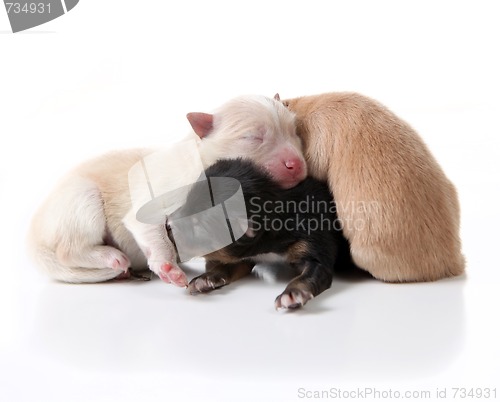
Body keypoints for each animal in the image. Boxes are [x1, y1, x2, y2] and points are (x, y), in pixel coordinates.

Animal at [29, 95, 306, 286]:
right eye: (253, 138)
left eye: (295, 132)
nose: (298, 165)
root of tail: (33, 238)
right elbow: (155, 233)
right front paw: (168, 266)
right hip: (81, 199)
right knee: (69, 250)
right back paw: (112, 258)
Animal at [170, 159, 346, 310]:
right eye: (185, 203)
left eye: (197, 224)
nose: (167, 224)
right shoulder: (246, 255)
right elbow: (228, 266)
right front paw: (205, 279)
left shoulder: (313, 244)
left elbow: (309, 274)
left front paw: (291, 295)